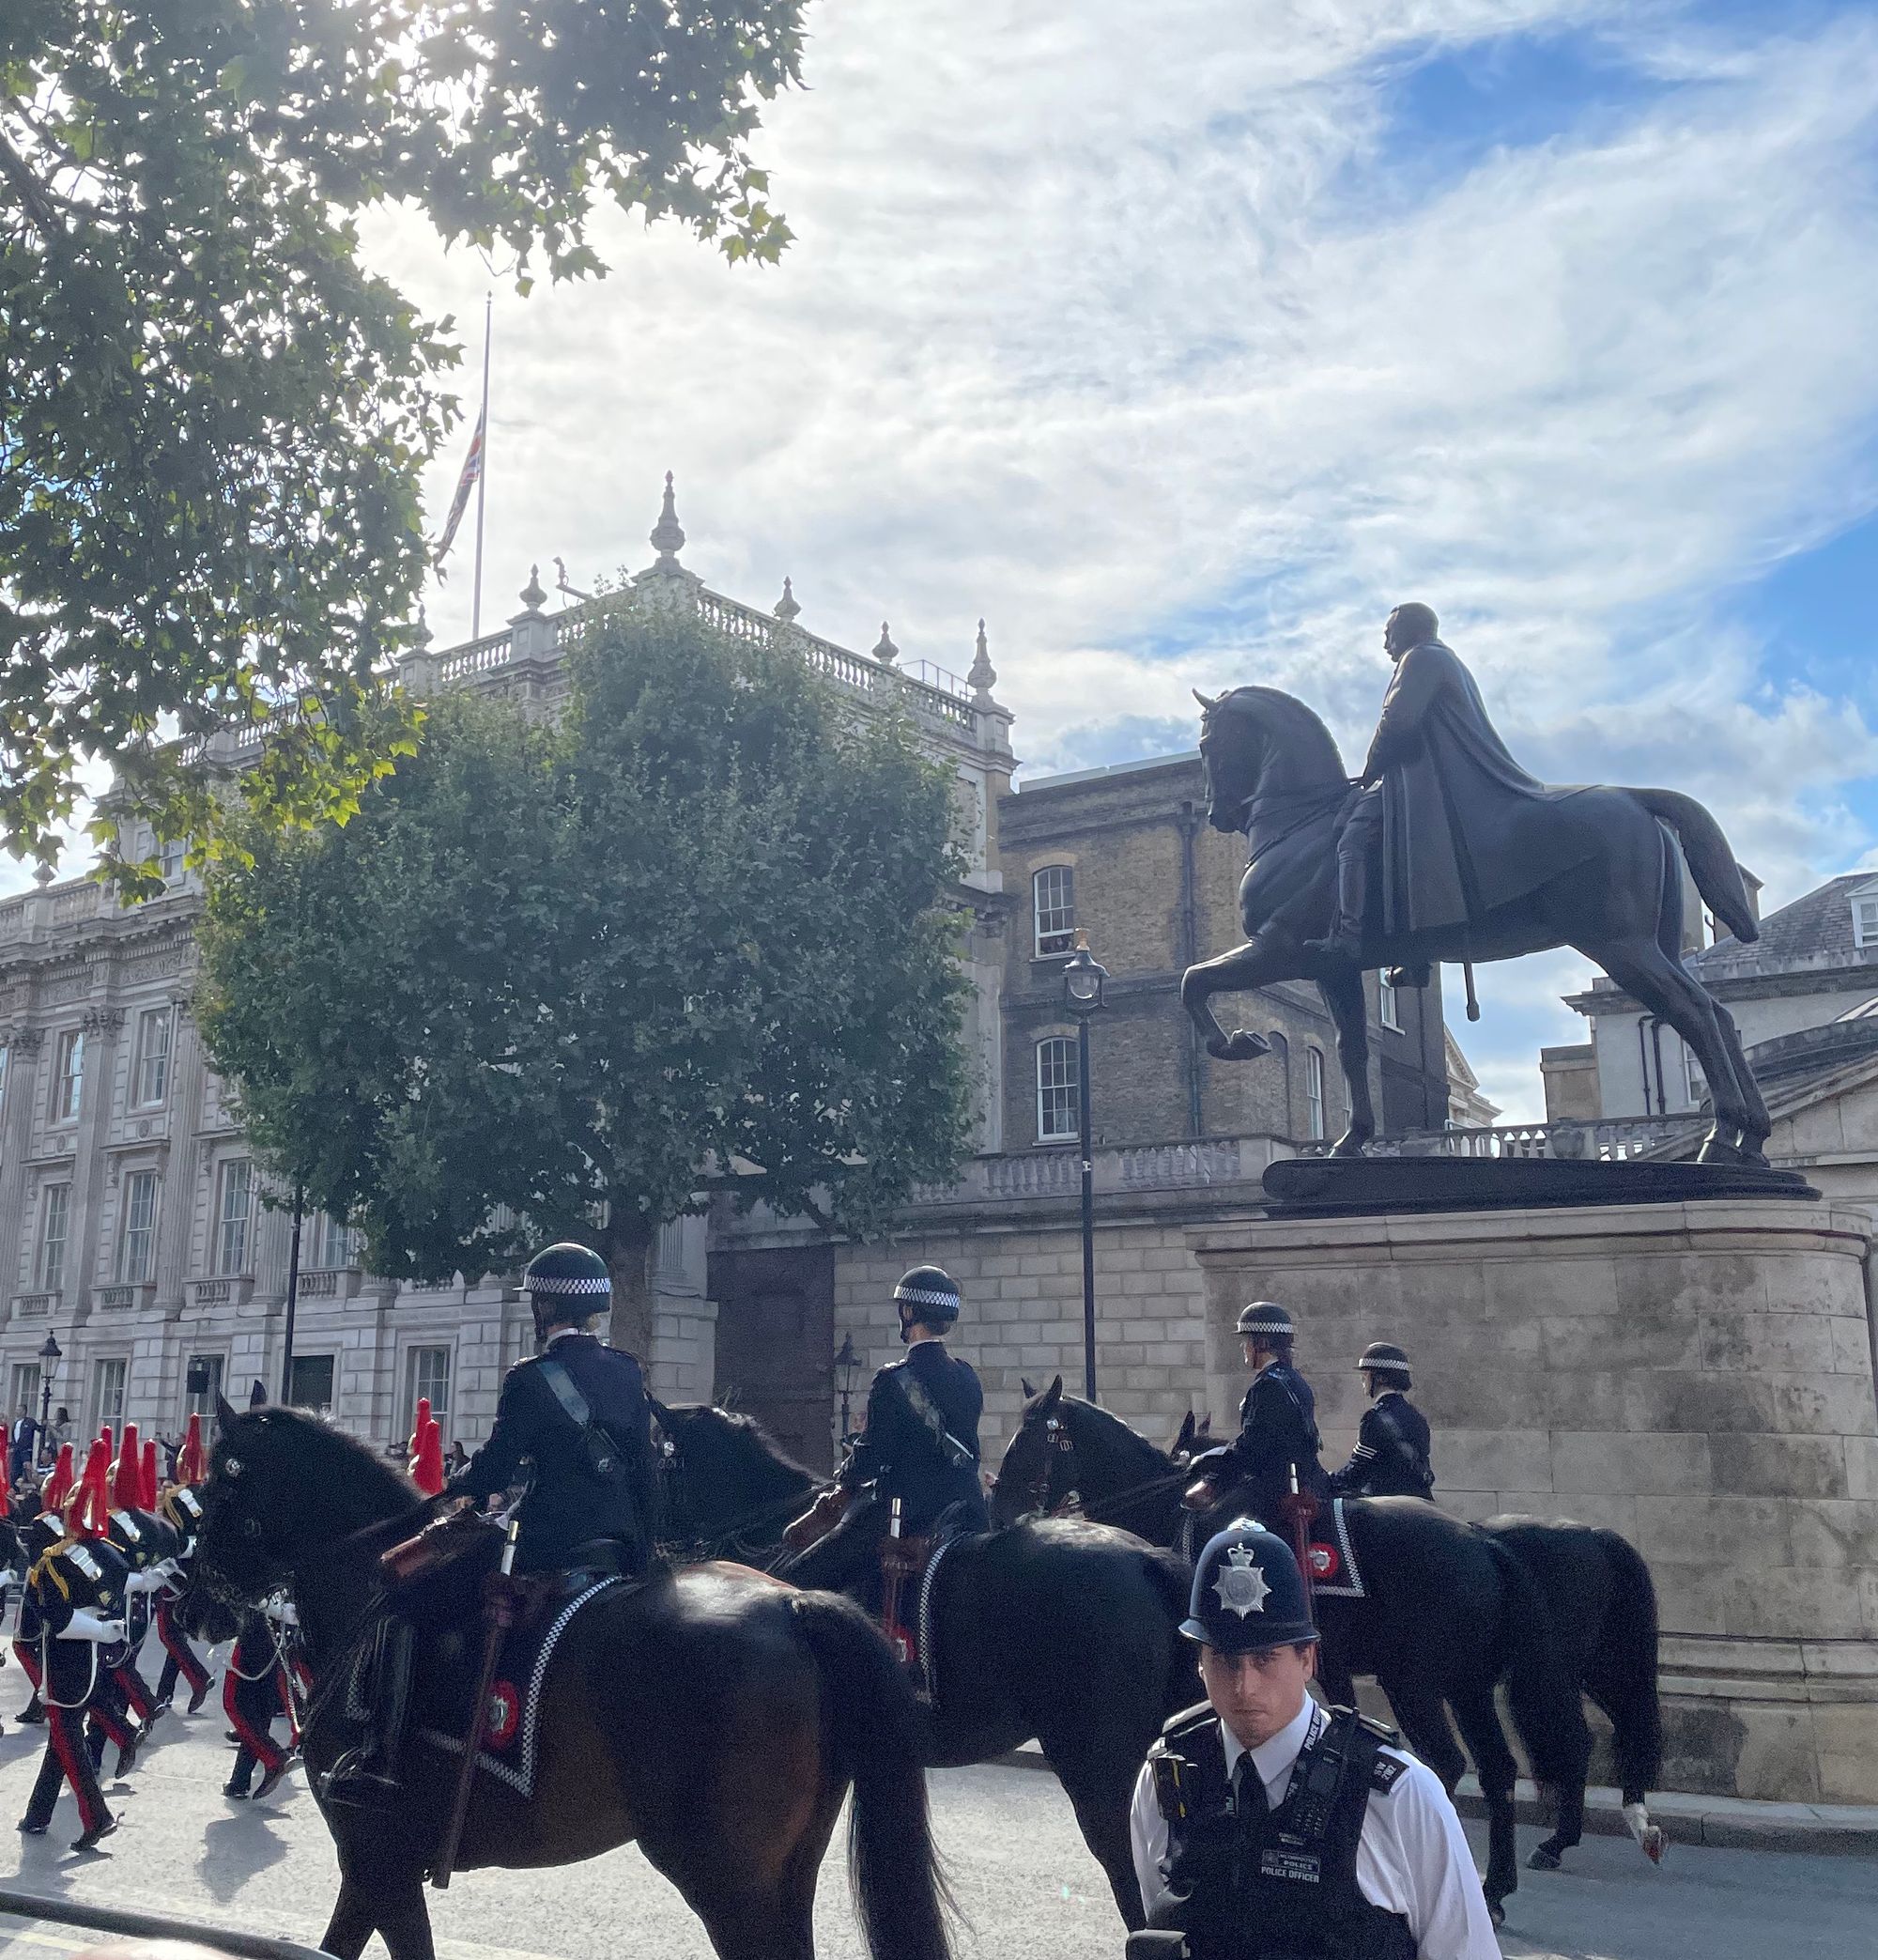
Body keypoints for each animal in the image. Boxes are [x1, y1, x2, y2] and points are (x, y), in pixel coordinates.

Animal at [192, 1403, 956, 1960]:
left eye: (218, 1486)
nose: (195, 1597)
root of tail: (795, 1605)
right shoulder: (377, 1867)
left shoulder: (377, 1859)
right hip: (784, 1874)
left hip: (728, 1883)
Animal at [992, 1387, 1592, 1921]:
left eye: (1030, 1438)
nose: (999, 1510)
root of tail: (1479, 1540)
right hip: (1465, 1686)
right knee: (1496, 1768)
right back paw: (1495, 1888)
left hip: (1414, 1682)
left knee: (1446, 1763)